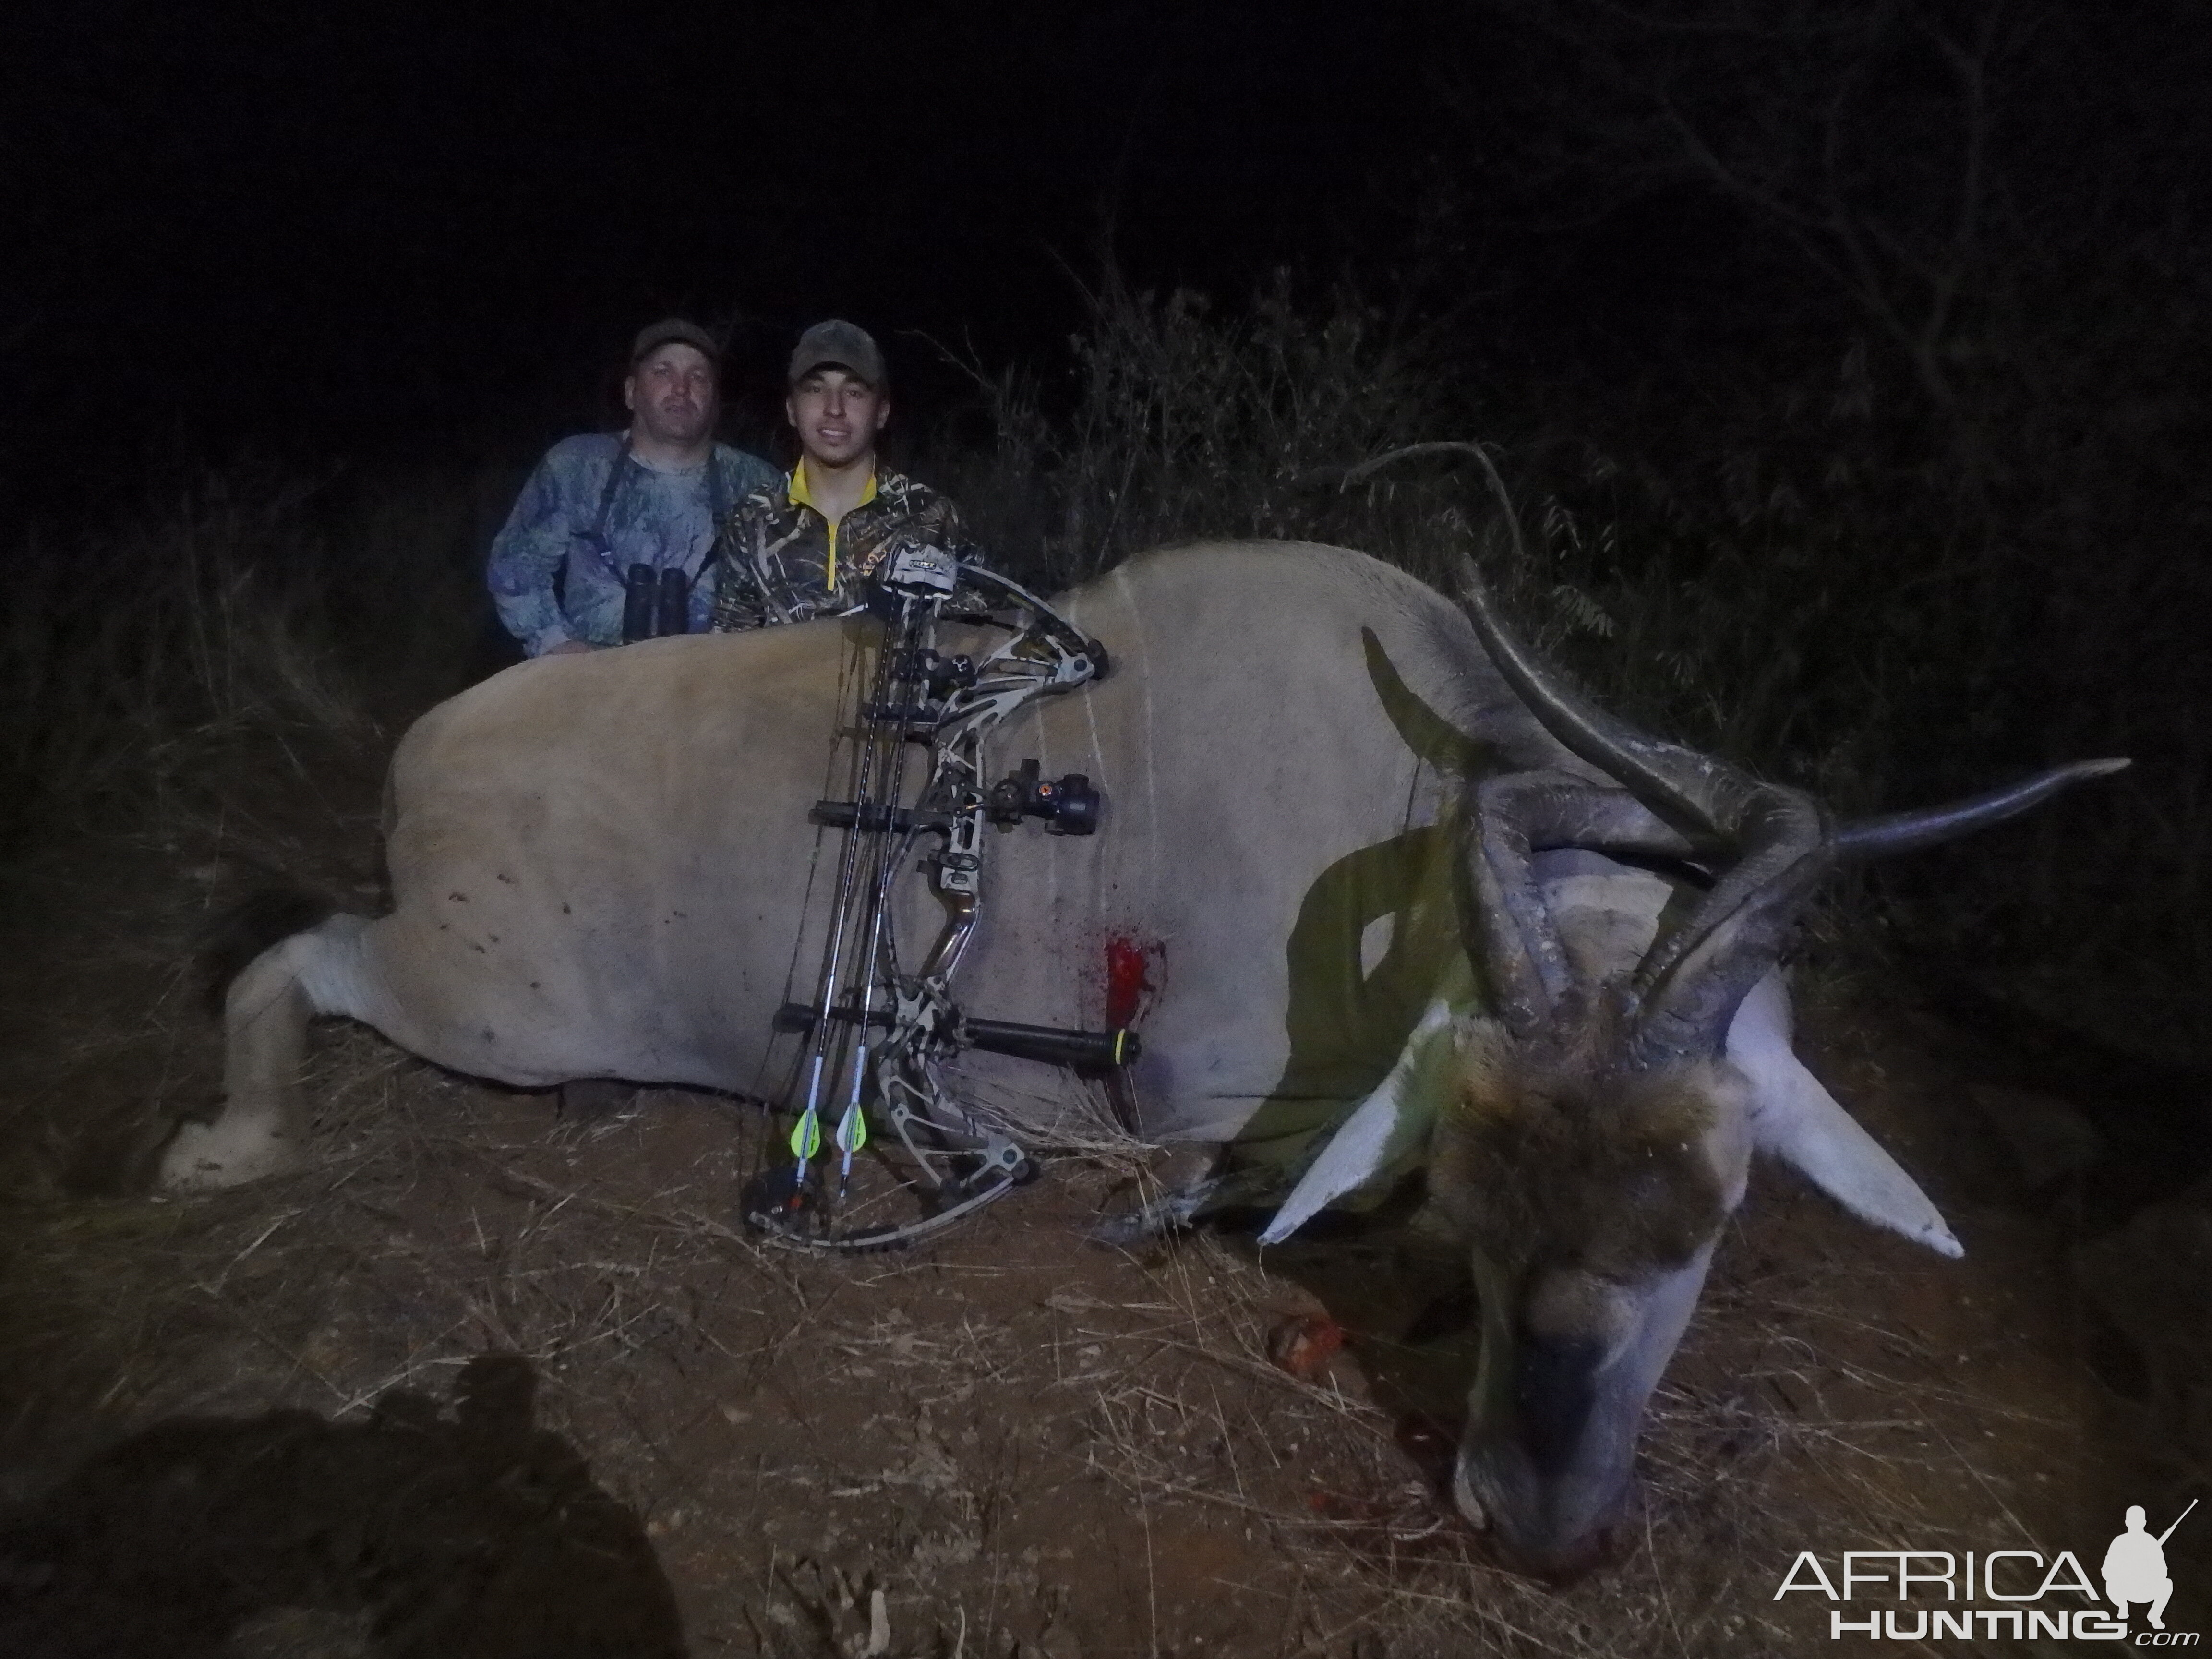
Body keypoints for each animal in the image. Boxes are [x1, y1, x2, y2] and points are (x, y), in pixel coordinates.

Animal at [160, 548, 2123, 1584]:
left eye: (1706, 1222)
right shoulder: (1220, 1095)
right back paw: (222, 1144)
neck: (1398, 816)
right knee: (297, 957)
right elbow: (1251, 1180)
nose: (1533, 1521)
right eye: (1479, 1195)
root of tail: (423, 761)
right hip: (475, 1000)